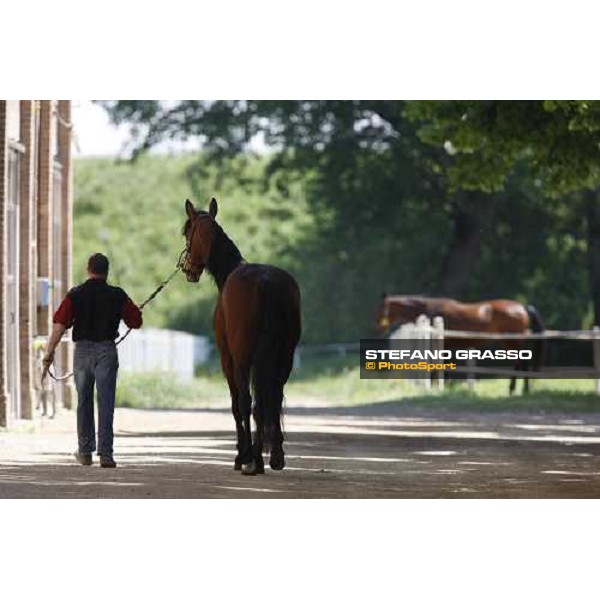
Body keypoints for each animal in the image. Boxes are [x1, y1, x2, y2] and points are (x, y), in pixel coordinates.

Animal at [179, 199, 298, 476]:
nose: (187, 268)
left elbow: (236, 405)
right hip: (284, 358)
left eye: (186, 232)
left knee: (248, 402)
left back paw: (252, 460)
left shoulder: (228, 359)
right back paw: (274, 457)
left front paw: (240, 456)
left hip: (243, 359)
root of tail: (266, 282)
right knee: (273, 398)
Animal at [372, 294, 548, 396]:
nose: (378, 329)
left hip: (512, 342)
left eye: (380, 309)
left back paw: (516, 390)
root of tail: (522, 307)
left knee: (521, 364)